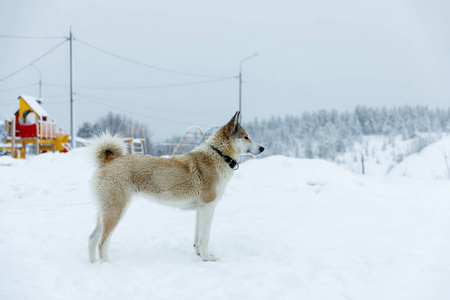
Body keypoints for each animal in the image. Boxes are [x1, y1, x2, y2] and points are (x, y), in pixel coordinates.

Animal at [88, 111, 264, 262]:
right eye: (246, 137)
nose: (262, 148)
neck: (219, 155)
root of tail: (108, 160)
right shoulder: (208, 207)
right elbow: (205, 237)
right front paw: (208, 258)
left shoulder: (200, 209)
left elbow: (198, 238)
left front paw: (200, 255)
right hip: (116, 211)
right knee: (102, 242)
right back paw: (106, 264)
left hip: (104, 212)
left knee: (92, 238)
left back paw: (93, 263)